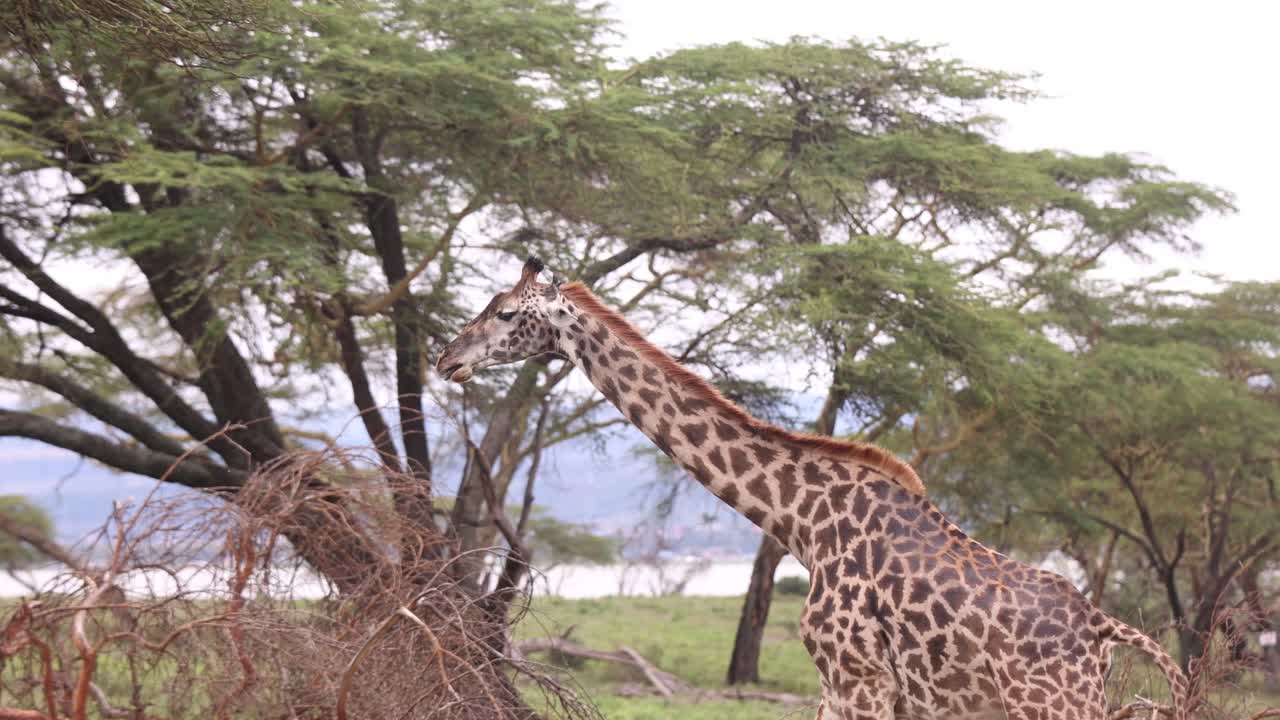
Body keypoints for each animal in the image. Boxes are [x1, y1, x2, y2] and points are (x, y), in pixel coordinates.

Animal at [436, 257, 1188, 720]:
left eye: (505, 314)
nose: (448, 358)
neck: (802, 520)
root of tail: (1103, 628)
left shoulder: (858, 681)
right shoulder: (851, 689)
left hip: (1052, 705)